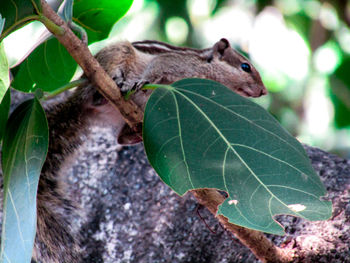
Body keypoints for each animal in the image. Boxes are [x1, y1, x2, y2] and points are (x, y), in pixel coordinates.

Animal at [33, 38, 268, 263]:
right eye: (245, 66)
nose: (264, 91)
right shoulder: (175, 64)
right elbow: (157, 67)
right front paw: (143, 81)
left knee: (120, 137)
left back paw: (135, 133)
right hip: (114, 57)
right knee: (99, 85)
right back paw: (115, 83)